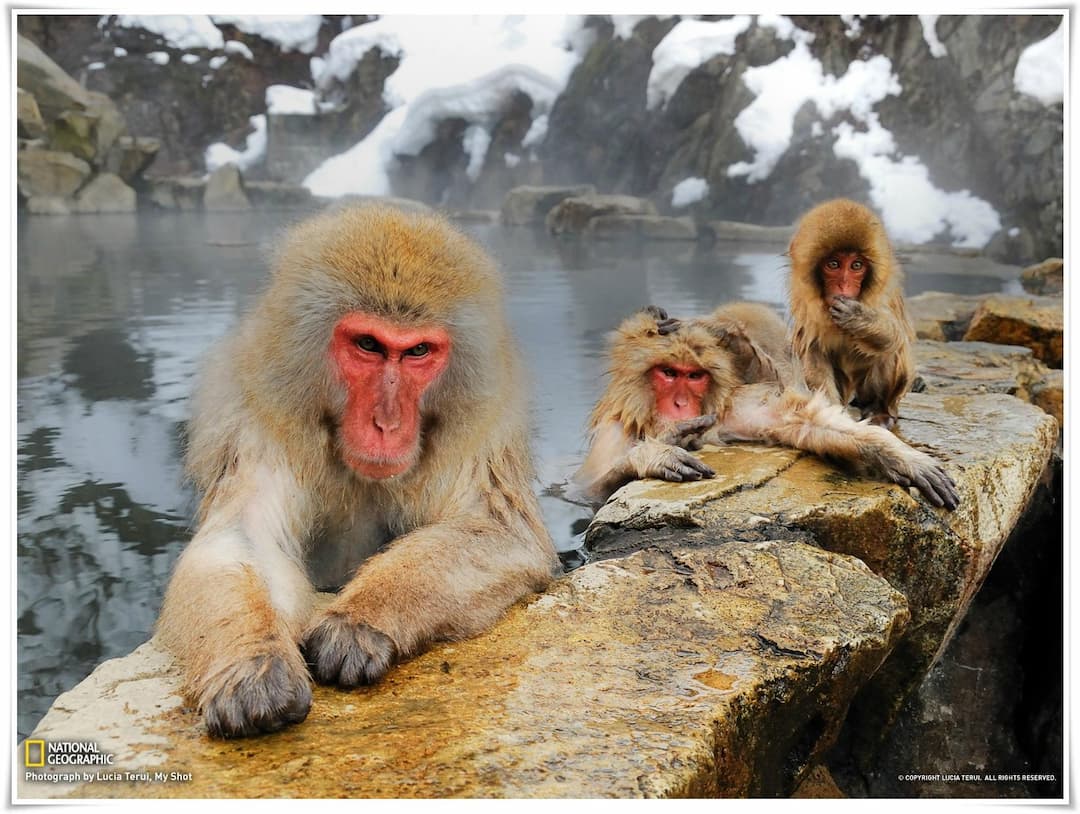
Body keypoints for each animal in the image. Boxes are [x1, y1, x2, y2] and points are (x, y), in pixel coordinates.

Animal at [156, 205, 557, 738]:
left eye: (417, 352)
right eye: (368, 344)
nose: (386, 424)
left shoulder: (485, 423)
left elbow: (499, 529)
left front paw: (359, 621)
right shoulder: (255, 415)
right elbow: (241, 536)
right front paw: (254, 665)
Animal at [574, 303, 959, 510]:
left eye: (694, 376)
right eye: (669, 373)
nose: (681, 404)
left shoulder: (729, 410)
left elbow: (802, 421)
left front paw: (898, 456)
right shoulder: (612, 431)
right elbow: (586, 489)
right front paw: (658, 452)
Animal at [788, 199, 916, 429]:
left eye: (856, 265)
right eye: (834, 264)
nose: (844, 285)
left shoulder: (885, 294)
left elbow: (896, 335)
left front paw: (859, 318)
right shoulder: (804, 300)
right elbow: (814, 350)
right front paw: (830, 415)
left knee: (888, 349)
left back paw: (879, 411)